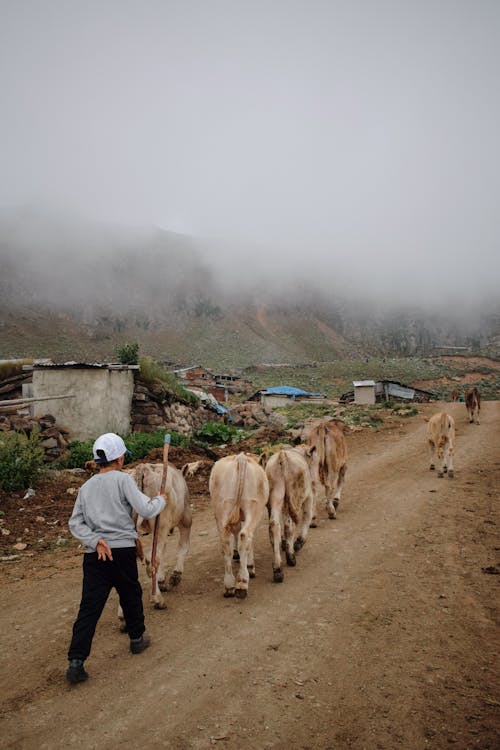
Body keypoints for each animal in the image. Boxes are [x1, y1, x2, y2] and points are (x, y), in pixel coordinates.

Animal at [124, 464, 191, 612]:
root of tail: (143, 469)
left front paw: (161, 580)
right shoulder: (185, 520)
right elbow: (183, 547)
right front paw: (176, 575)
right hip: (161, 525)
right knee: (152, 559)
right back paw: (157, 600)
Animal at [208, 452, 268, 600]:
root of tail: (240, 457)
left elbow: (235, 532)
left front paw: (237, 555)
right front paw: (250, 565)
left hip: (221, 509)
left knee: (225, 542)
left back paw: (229, 585)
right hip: (254, 508)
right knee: (246, 535)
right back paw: (242, 582)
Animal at [262, 450, 312, 584]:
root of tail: (282, 456)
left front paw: (283, 543)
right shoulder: (309, 495)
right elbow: (308, 515)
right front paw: (299, 542)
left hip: (276, 494)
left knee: (274, 525)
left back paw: (278, 569)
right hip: (295, 496)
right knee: (289, 524)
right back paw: (291, 557)